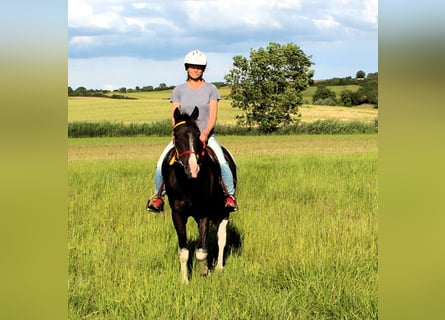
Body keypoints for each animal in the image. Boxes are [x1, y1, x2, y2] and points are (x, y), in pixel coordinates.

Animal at [162, 106, 238, 284]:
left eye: (197, 134)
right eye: (176, 135)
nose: (192, 168)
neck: (188, 183)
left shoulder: (204, 214)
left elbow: (202, 251)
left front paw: (205, 271)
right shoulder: (178, 215)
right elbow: (184, 251)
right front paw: (184, 280)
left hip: (224, 211)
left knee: (221, 238)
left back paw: (219, 267)